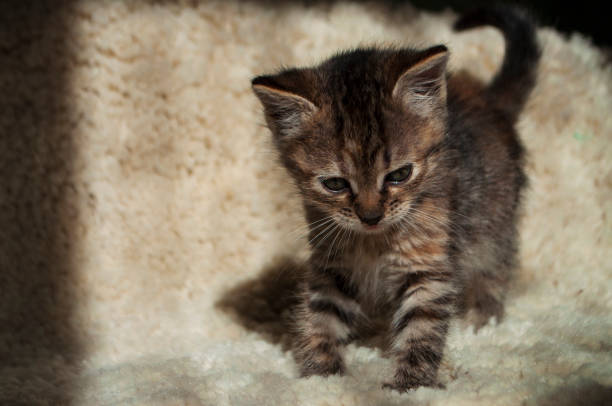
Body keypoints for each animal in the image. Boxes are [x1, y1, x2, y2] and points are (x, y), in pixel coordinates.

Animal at [251, 4, 536, 392]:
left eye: (399, 175)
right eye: (335, 184)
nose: (371, 215)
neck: (374, 243)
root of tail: (489, 101)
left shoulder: (428, 263)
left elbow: (422, 326)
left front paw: (410, 385)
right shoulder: (332, 262)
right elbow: (320, 317)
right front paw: (320, 376)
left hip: (495, 221)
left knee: (496, 266)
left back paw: (482, 319)